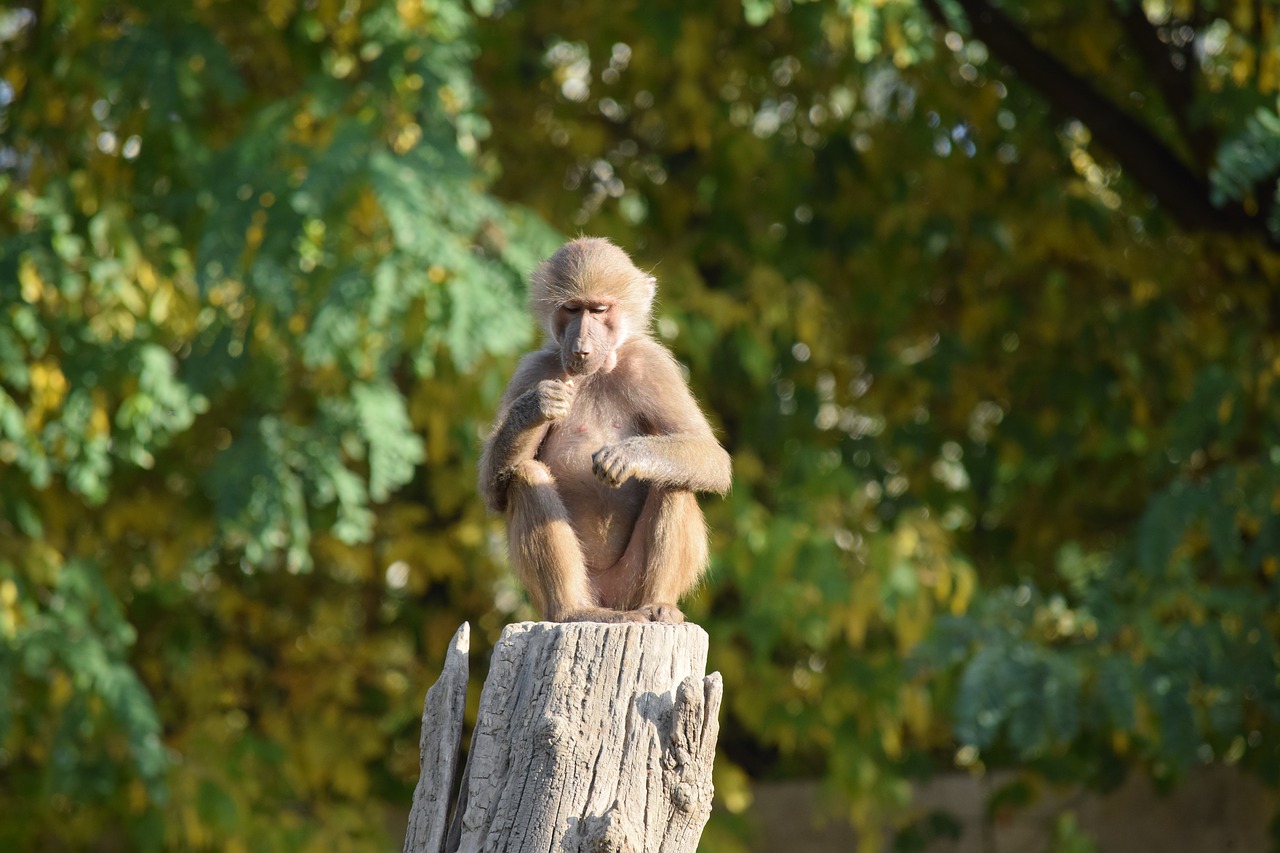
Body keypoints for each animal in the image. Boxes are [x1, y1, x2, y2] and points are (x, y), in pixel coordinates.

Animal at [478, 235, 732, 622]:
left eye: (598, 310)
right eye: (571, 309)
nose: (581, 348)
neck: (596, 372)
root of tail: (610, 601)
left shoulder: (652, 365)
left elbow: (711, 457)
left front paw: (629, 456)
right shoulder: (533, 369)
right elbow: (494, 491)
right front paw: (535, 407)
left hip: (628, 585)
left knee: (675, 481)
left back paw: (659, 604)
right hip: (581, 589)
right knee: (525, 475)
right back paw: (573, 610)